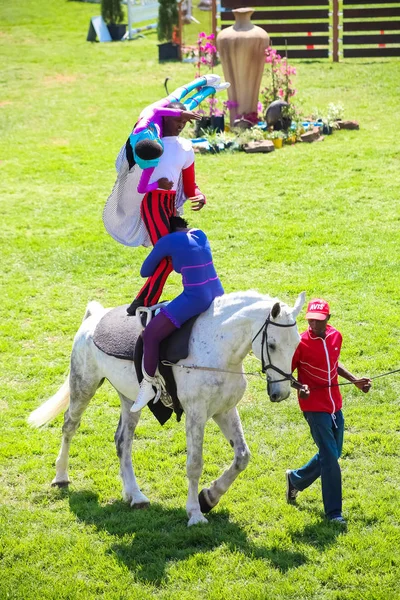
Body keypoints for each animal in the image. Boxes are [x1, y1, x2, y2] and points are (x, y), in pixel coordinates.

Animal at [29, 290, 304, 524]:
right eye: (272, 345)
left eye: (297, 344)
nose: (281, 393)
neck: (218, 348)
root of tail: (94, 316)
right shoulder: (196, 415)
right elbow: (194, 464)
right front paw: (195, 513)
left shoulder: (224, 410)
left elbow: (242, 457)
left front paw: (209, 497)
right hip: (83, 386)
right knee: (70, 425)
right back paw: (61, 476)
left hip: (129, 400)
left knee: (122, 441)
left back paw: (135, 495)